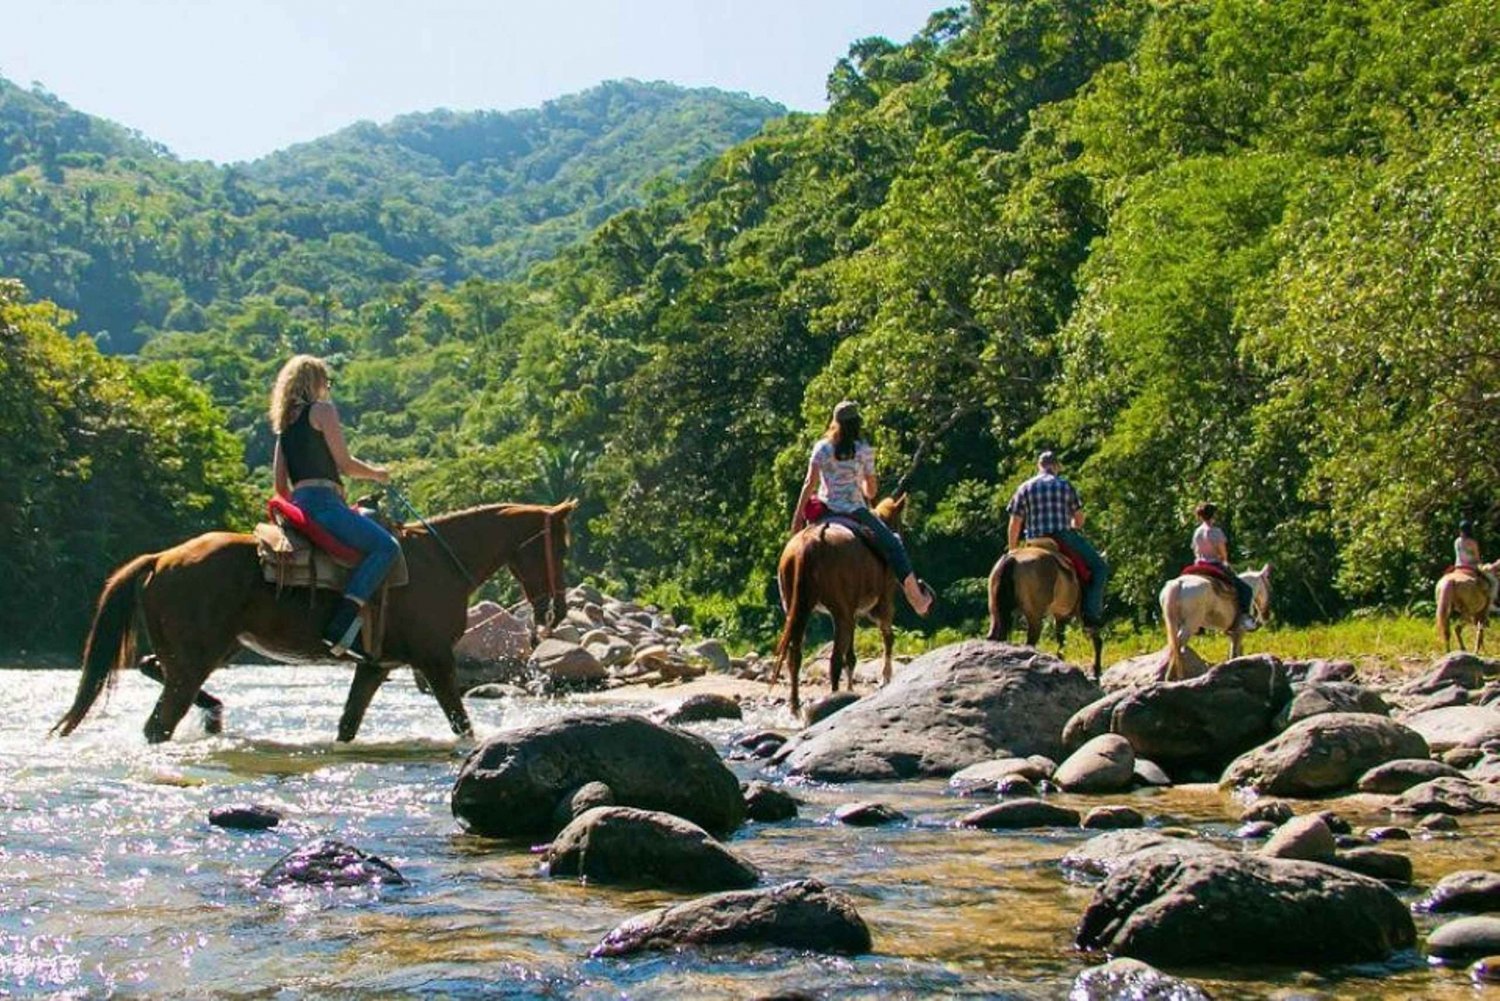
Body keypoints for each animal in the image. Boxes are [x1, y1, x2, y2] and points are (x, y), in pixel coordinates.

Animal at [51, 501, 573, 744]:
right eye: (562, 548)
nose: (558, 611)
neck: (439, 562)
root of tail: (160, 559)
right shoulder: (435, 660)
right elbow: (462, 724)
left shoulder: (376, 665)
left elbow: (347, 724)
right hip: (199, 654)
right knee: (160, 720)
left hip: (213, 648)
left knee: (151, 667)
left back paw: (215, 711)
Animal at [780, 498, 906, 717]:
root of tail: (810, 543)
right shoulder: (882, 602)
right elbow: (887, 637)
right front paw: (885, 677)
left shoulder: (851, 611)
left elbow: (852, 655)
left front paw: (852, 688)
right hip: (840, 612)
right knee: (835, 659)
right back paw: (834, 698)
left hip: (797, 610)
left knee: (795, 656)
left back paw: (795, 706)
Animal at [984, 540, 1104, 681]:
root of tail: (1011, 560)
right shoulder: (1075, 613)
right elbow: (1093, 639)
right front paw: (1096, 670)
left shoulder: (1060, 616)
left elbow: (1061, 642)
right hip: (1035, 616)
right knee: (1031, 641)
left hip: (995, 611)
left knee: (994, 636)